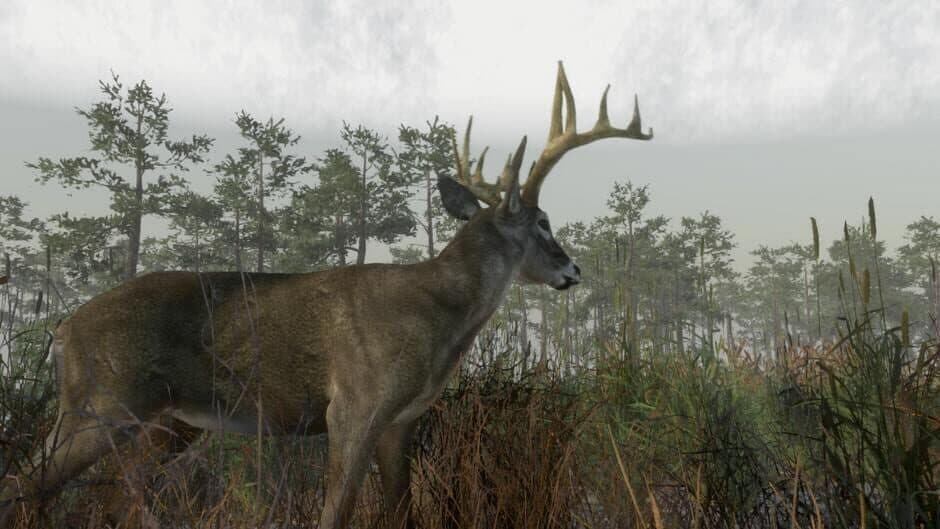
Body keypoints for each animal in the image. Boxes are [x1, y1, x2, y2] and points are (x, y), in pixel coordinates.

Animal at [0, 61, 652, 528]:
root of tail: (62, 330)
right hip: (101, 402)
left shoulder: (400, 421)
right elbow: (335, 513)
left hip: (167, 423)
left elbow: (400, 512)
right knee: (26, 484)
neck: (437, 318)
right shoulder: (353, 404)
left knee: (118, 497)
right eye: (542, 222)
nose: (573, 269)